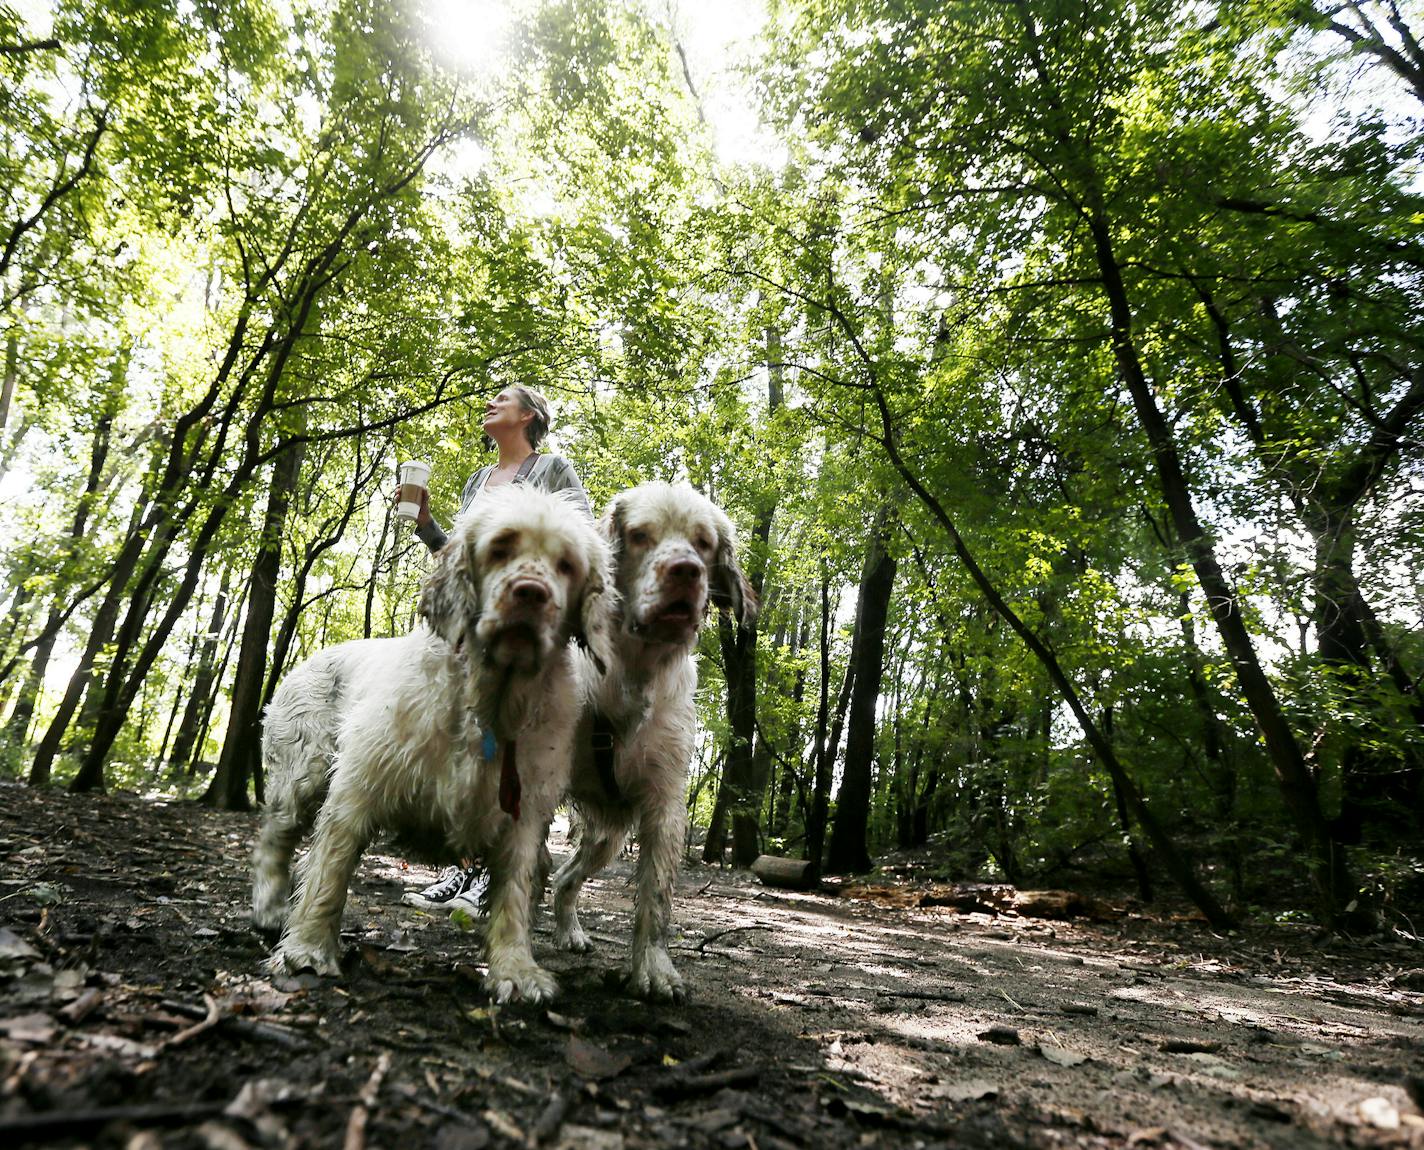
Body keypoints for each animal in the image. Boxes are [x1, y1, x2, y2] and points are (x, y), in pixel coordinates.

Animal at [253, 481, 609, 1001]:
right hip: (300, 780)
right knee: (274, 844)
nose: (531, 593)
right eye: (501, 547)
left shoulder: (522, 816)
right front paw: (309, 949)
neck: (489, 703)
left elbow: (514, 896)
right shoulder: (357, 790)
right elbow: (329, 873)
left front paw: (515, 969)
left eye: (566, 564)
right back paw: (269, 911)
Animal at [552, 481, 763, 1001]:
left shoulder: (665, 805)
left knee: (564, 878)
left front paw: (652, 969)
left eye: (704, 543)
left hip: (606, 837)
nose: (685, 570)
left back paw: (570, 931)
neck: (634, 673)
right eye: (641, 535)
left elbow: (655, 899)